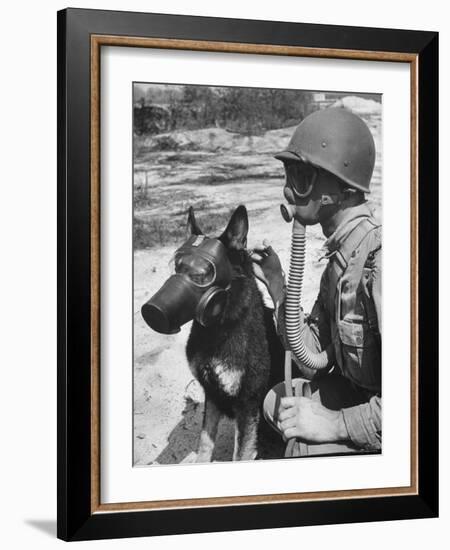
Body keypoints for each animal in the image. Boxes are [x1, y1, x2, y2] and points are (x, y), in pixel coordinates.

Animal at [185, 205, 272, 464]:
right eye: (178, 266)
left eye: (205, 272)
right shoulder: (211, 394)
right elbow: (205, 441)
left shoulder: (248, 403)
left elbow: (241, 452)